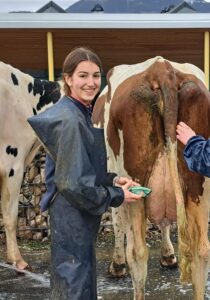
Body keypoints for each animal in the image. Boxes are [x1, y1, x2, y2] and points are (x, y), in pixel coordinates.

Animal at [92, 56, 210, 300]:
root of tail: (163, 69)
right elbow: (165, 222)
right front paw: (168, 255)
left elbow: (117, 221)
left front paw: (117, 266)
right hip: (200, 188)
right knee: (202, 251)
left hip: (134, 186)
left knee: (137, 252)